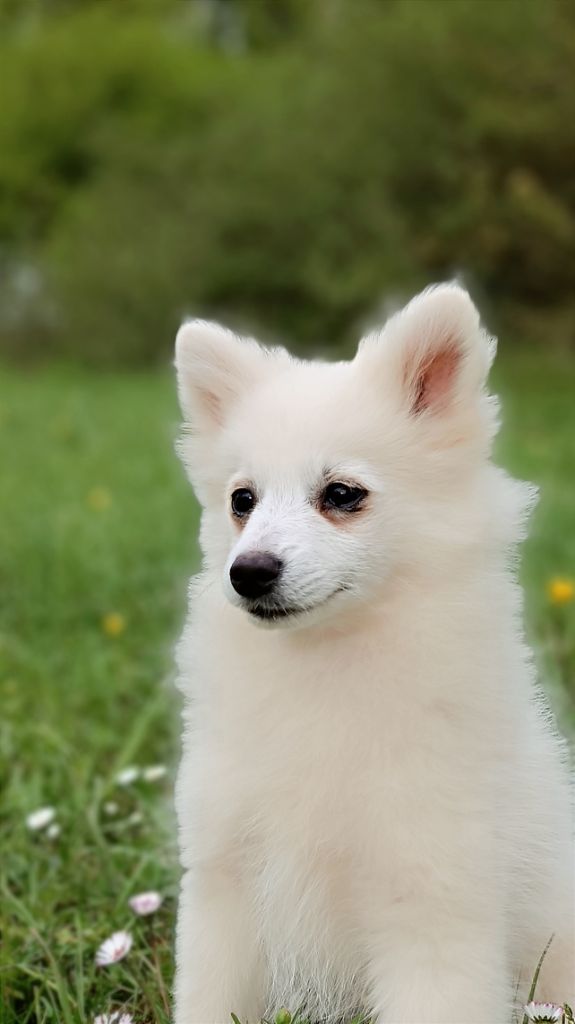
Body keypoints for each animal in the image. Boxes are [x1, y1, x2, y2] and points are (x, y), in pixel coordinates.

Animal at [173, 284, 574, 1024]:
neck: (328, 663)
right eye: (242, 500)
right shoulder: (224, 880)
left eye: (341, 494)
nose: (248, 572)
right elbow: (209, 997)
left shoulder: (429, 895)